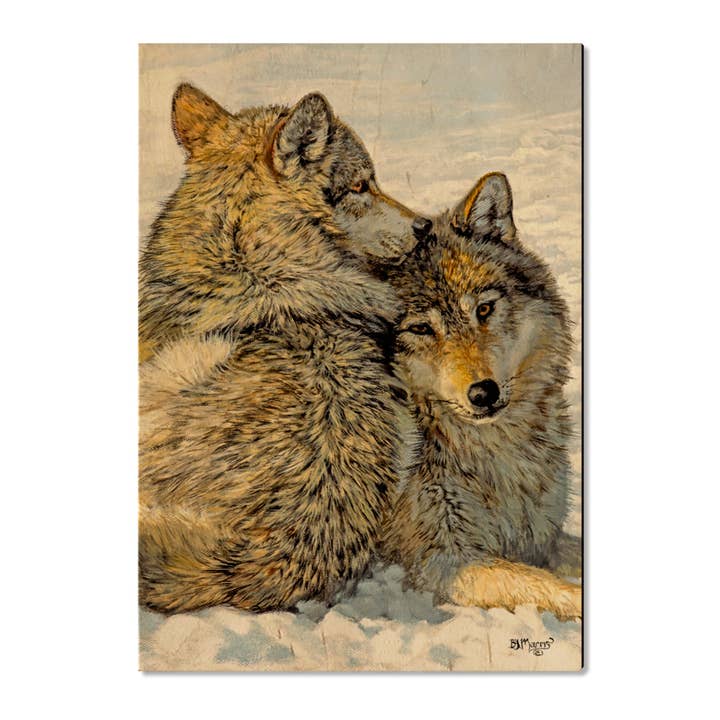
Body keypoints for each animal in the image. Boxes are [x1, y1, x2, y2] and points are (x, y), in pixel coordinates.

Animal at [380, 172, 581, 620]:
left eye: (484, 310)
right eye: (421, 329)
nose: (483, 393)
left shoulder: (539, 537)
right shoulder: (444, 561)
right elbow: (544, 585)